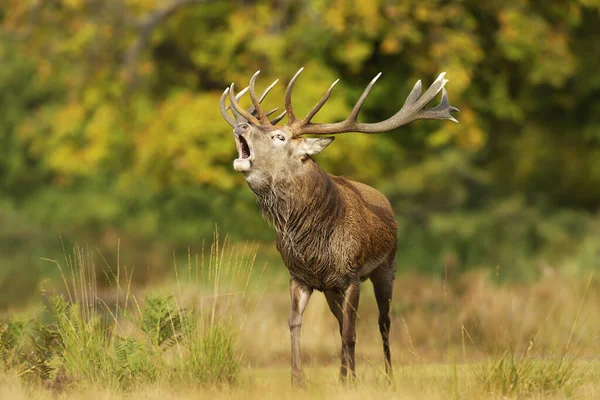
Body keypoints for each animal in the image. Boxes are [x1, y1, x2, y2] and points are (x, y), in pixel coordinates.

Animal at [220, 68, 460, 384]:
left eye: (279, 136)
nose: (241, 126)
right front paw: (299, 380)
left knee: (383, 322)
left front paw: (347, 382)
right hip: (331, 289)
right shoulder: (300, 277)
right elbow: (296, 323)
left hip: (387, 267)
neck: (313, 242)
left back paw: (387, 376)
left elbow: (350, 332)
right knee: (346, 326)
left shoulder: (352, 274)